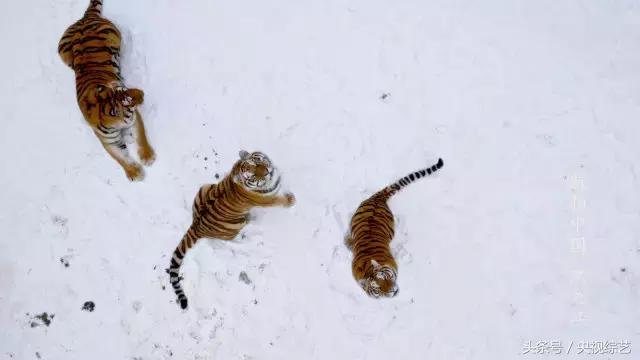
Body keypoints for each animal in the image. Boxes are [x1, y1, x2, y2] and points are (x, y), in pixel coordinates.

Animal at [57, 0, 155, 180]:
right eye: (126, 98)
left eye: (123, 88)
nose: (143, 94)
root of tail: (85, 17)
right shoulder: (108, 141)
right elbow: (118, 157)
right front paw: (134, 172)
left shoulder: (134, 119)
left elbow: (141, 136)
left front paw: (147, 156)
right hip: (63, 54)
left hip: (115, 38)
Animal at [166, 150, 294, 310]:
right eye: (252, 175)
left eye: (257, 161)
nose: (267, 172)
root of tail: (196, 225)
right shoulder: (269, 200)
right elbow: (280, 201)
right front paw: (291, 200)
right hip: (236, 225)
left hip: (205, 187)